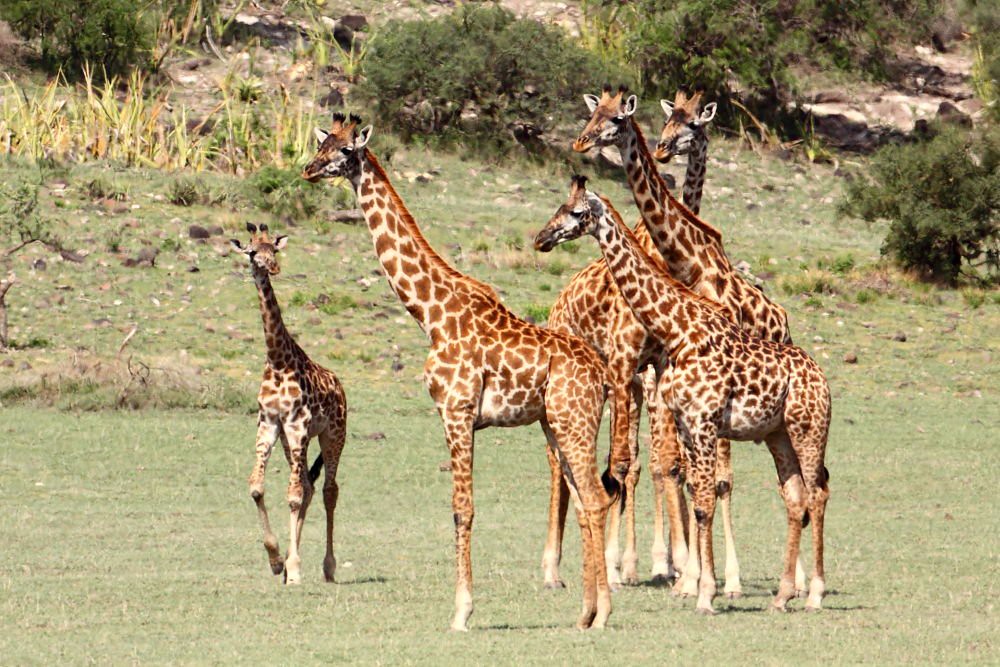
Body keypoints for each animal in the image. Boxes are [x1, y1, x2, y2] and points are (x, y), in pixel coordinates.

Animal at [231, 223, 347, 585]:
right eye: (252, 252)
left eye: (275, 249)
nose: (273, 268)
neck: (278, 361)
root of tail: (340, 386)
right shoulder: (270, 424)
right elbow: (257, 488)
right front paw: (276, 560)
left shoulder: (297, 425)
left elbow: (293, 496)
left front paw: (293, 568)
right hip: (291, 440)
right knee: (309, 486)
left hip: (333, 435)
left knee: (328, 490)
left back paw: (328, 567)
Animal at [302, 113, 617, 631]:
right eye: (323, 143)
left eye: (346, 151)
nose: (308, 169)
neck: (430, 313)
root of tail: (603, 374)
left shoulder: (456, 410)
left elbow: (461, 510)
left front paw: (462, 611)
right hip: (557, 425)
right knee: (585, 498)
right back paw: (586, 612)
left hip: (573, 421)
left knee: (594, 497)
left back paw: (603, 613)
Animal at [535, 177, 831, 615]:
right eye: (558, 206)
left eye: (575, 212)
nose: (542, 237)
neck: (678, 327)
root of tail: (822, 379)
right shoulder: (688, 423)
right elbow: (692, 493)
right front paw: (694, 582)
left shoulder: (704, 422)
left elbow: (703, 497)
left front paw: (705, 592)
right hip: (777, 435)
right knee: (796, 496)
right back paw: (781, 595)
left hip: (808, 431)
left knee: (817, 492)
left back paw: (813, 593)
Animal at [575, 85, 804, 599]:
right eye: (593, 113)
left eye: (693, 125)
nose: (662, 149)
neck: (688, 262)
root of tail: (783, 319)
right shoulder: (651, 370)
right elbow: (660, 464)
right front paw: (676, 570)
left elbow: (705, 474)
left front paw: (710, 575)